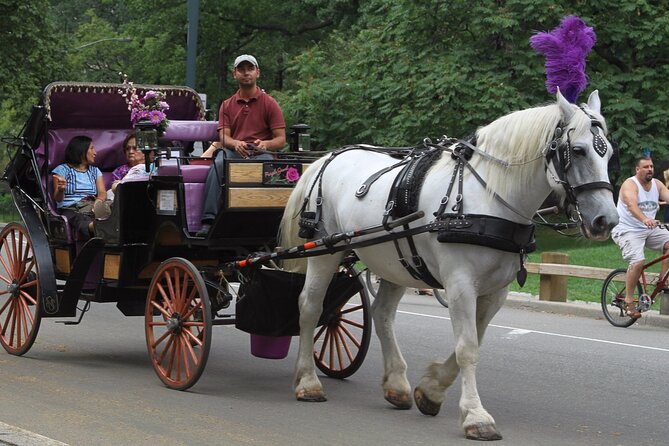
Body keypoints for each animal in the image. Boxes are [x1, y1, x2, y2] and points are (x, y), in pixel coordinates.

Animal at [278, 90, 618, 440]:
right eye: (577, 151)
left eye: (608, 154)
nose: (606, 220)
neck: (488, 197)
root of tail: (327, 158)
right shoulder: (460, 285)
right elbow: (467, 347)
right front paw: (476, 416)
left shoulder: (495, 291)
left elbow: (472, 341)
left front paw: (430, 390)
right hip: (324, 251)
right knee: (310, 307)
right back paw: (308, 381)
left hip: (396, 261)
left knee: (382, 314)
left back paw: (396, 384)